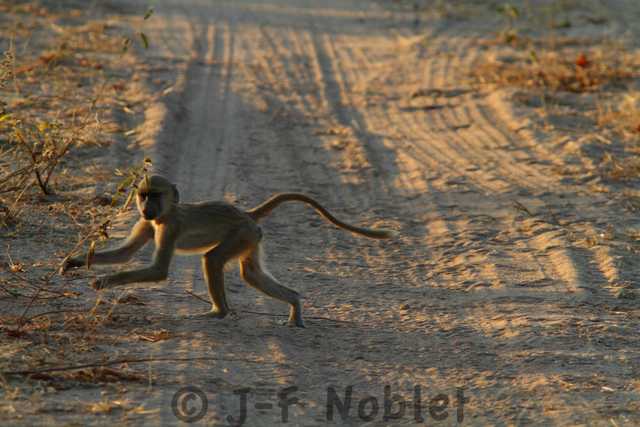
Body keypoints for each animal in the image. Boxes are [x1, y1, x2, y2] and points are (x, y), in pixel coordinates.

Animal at [61, 175, 394, 327]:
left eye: (155, 194)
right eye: (143, 195)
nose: (146, 207)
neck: (165, 214)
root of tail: (246, 213)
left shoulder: (169, 228)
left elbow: (158, 271)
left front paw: (103, 282)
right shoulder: (148, 224)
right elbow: (126, 254)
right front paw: (74, 262)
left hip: (241, 235)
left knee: (213, 260)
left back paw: (218, 312)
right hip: (251, 238)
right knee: (251, 274)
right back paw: (295, 305)